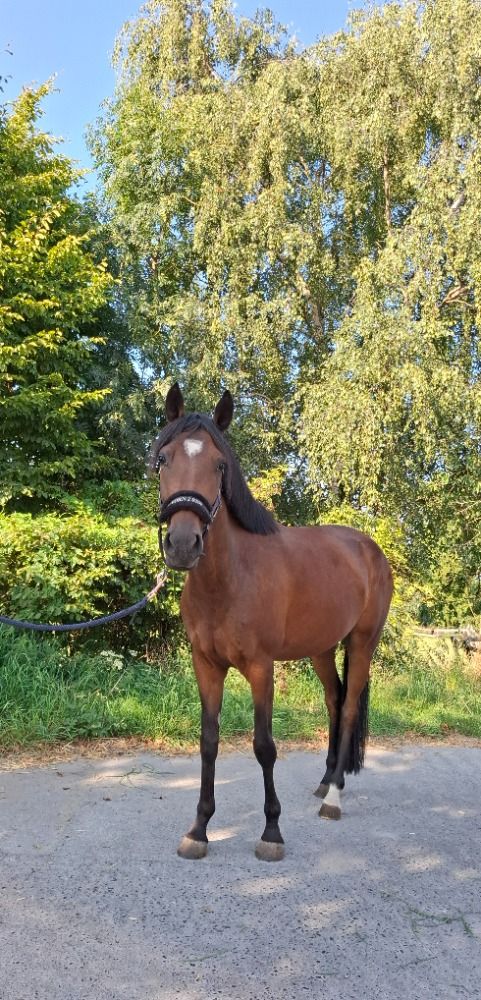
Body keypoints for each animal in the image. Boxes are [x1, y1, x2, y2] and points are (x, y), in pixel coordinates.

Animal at [151, 384, 393, 861]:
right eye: (164, 458)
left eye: (220, 465)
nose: (184, 544)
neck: (229, 579)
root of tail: (370, 550)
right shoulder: (206, 666)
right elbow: (209, 742)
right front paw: (199, 829)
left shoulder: (262, 669)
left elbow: (264, 746)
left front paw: (271, 832)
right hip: (321, 649)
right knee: (334, 699)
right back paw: (325, 781)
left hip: (362, 643)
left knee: (349, 707)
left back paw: (334, 797)